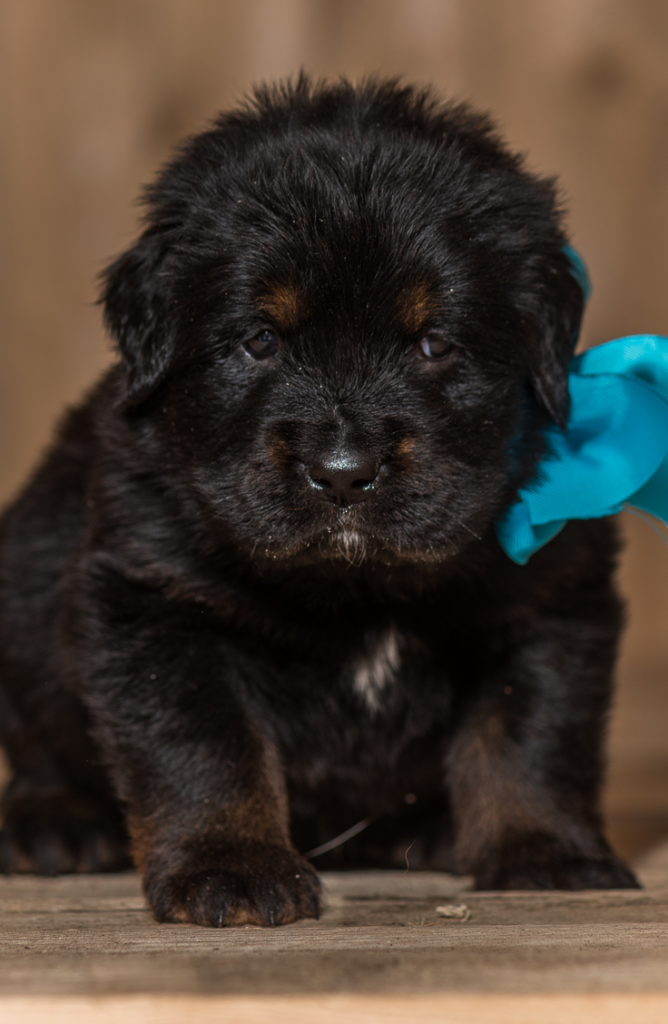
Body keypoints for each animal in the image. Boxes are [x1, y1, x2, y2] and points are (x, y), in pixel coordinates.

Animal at [0, 77, 635, 929]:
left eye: (436, 344)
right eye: (259, 340)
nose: (342, 472)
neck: (357, 585)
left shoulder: (555, 596)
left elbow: (530, 734)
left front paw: (545, 850)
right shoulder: (151, 597)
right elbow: (206, 745)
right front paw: (230, 866)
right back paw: (55, 825)